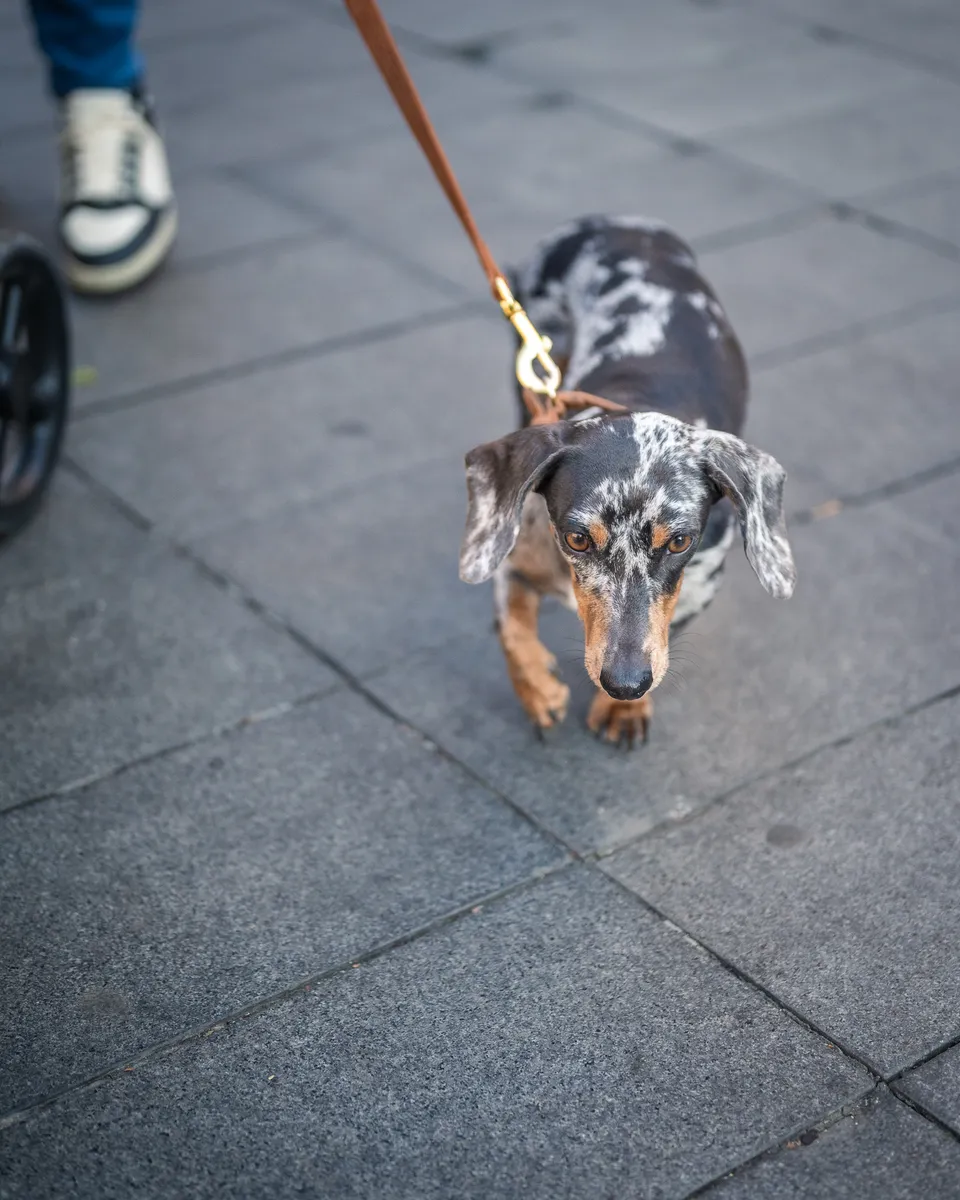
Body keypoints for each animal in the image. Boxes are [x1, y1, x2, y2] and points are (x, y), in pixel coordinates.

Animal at [458, 212, 796, 744]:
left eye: (679, 542)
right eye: (576, 539)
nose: (625, 682)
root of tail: (610, 221)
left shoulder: (698, 587)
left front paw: (623, 710)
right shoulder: (514, 552)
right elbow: (511, 627)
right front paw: (538, 689)